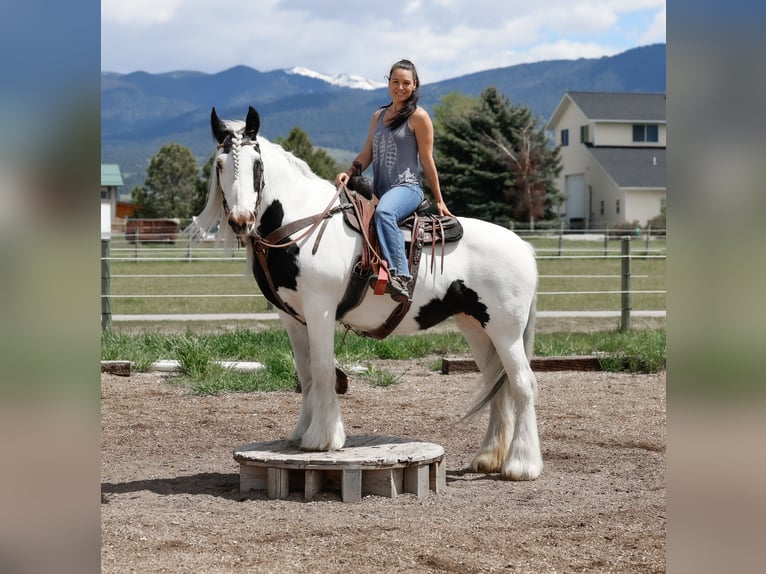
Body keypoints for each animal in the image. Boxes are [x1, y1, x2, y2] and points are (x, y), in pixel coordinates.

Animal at [189, 107, 544, 482]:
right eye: (220, 165)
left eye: (257, 165)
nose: (240, 220)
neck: (303, 224)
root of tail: (523, 246)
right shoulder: (292, 318)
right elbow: (306, 373)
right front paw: (301, 433)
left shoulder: (320, 310)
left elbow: (323, 369)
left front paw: (323, 438)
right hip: (476, 326)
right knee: (497, 384)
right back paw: (488, 458)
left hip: (505, 330)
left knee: (522, 384)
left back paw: (522, 465)